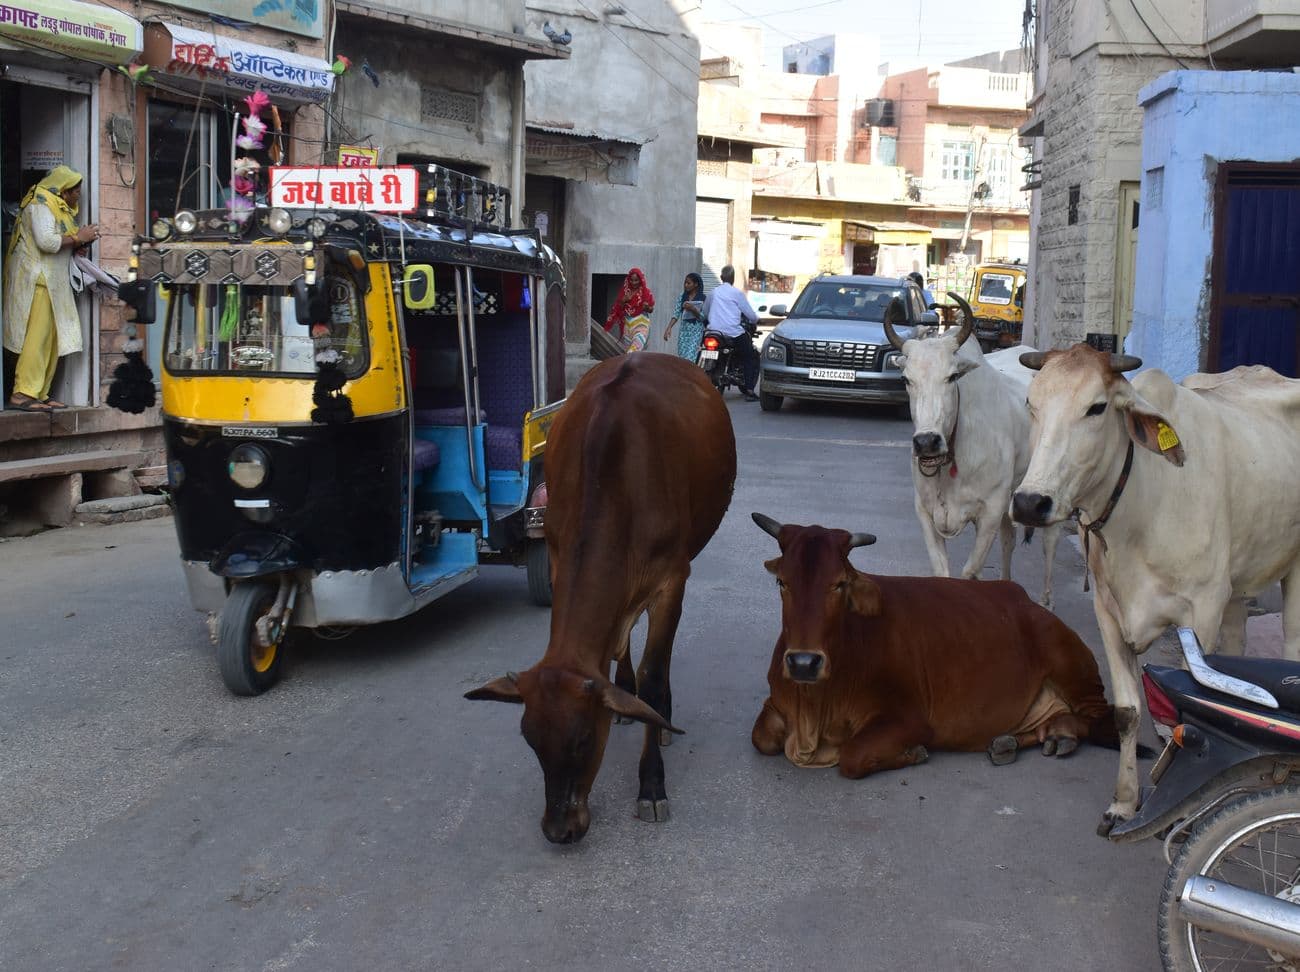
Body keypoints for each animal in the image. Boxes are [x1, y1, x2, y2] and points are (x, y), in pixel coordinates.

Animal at [465, 350, 733, 842]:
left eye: (585, 738)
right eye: (530, 739)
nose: (559, 829)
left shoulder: (672, 578)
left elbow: (653, 673)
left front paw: (651, 784)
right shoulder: (557, 555)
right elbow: (617, 647)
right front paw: (626, 698)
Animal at [748, 511, 1123, 779]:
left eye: (839, 584)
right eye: (782, 582)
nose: (803, 663)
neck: (813, 707)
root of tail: (1023, 599)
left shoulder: (910, 720)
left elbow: (852, 757)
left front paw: (913, 753)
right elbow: (761, 737)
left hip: (1072, 666)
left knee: (1097, 719)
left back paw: (1061, 736)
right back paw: (1016, 740)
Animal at [883, 292, 1055, 602]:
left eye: (952, 377)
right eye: (906, 379)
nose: (926, 442)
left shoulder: (990, 511)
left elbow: (970, 573)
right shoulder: (925, 511)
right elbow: (943, 573)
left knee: (1048, 548)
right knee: (1009, 541)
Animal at [1013, 345, 1300, 836]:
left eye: (1096, 407)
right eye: (1033, 404)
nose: (1031, 502)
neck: (1143, 499)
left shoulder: (1200, 614)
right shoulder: (1108, 611)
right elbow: (1127, 712)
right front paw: (1125, 803)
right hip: (1237, 586)